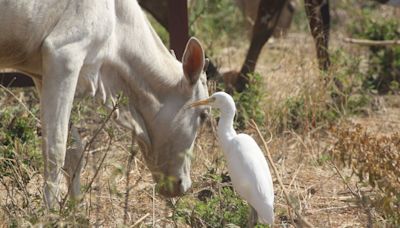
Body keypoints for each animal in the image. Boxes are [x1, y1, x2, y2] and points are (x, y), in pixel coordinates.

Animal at [0, 0, 209, 208]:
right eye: (204, 115)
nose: (185, 185)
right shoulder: (64, 55)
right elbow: (55, 150)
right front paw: (50, 211)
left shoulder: (42, 74)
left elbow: (74, 152)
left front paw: (75, 210)